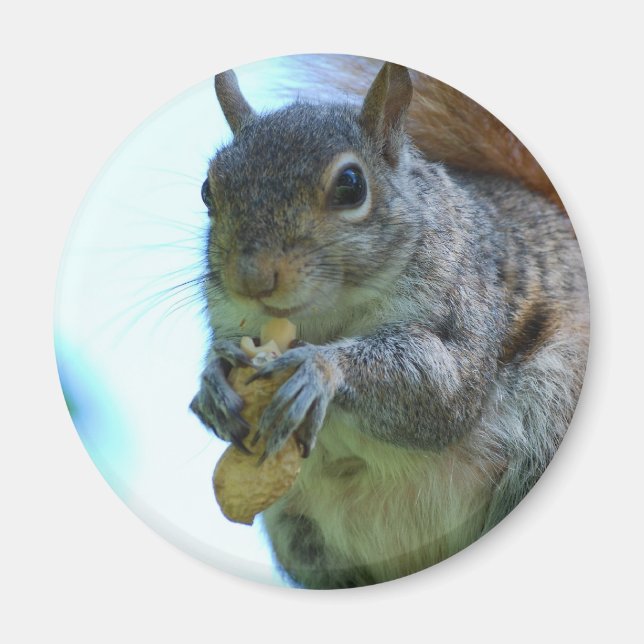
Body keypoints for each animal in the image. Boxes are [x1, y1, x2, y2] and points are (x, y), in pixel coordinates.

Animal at [189, 55, 590, 589]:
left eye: (351, 185)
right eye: (207, 190)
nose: (251, 278)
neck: (327, 316)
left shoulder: (467, 310)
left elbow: (444, 390)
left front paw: (319, 369)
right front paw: (213, 378)